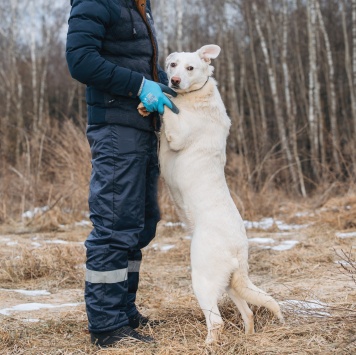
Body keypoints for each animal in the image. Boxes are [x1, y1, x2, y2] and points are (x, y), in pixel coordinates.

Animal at [159, 44, 284, 344]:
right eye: (173, 64)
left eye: (190, 68)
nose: (174, 81)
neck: (196, 95)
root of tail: (239, 250)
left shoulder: (176, 135)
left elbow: (168, 111)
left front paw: (154, 95)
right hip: (229, 284)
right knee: (248, 312)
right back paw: (248, 337)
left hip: (202, 280)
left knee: (216, 322)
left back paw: (208, 345)